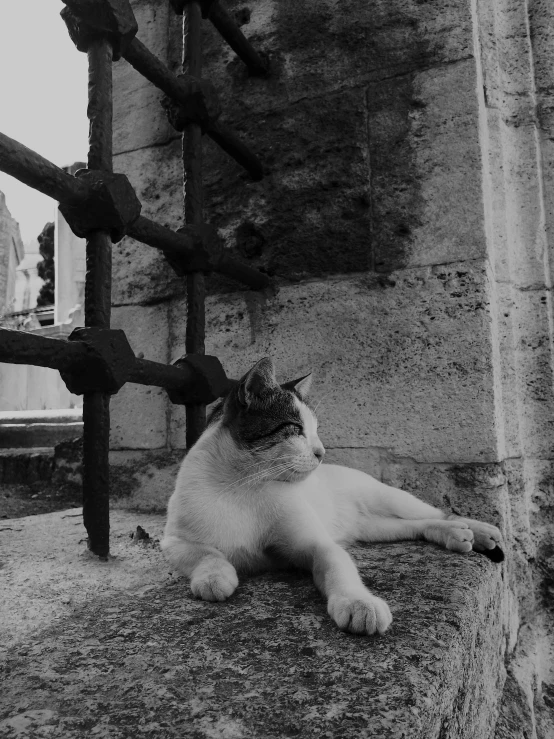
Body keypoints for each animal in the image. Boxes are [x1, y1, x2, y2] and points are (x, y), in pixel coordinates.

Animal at [161, 358, 504, 636]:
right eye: (295, 428)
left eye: (316, 431)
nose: (321, 452)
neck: (242, 485)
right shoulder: (172, 541)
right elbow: (205, 553)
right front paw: (215, 577)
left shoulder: (316, 543)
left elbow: (338, 565)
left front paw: (358, 602)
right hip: (374, 528)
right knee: (416, 526)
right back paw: (454, 534)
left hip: (391, 498)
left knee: (436, 512)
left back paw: (477, 530)